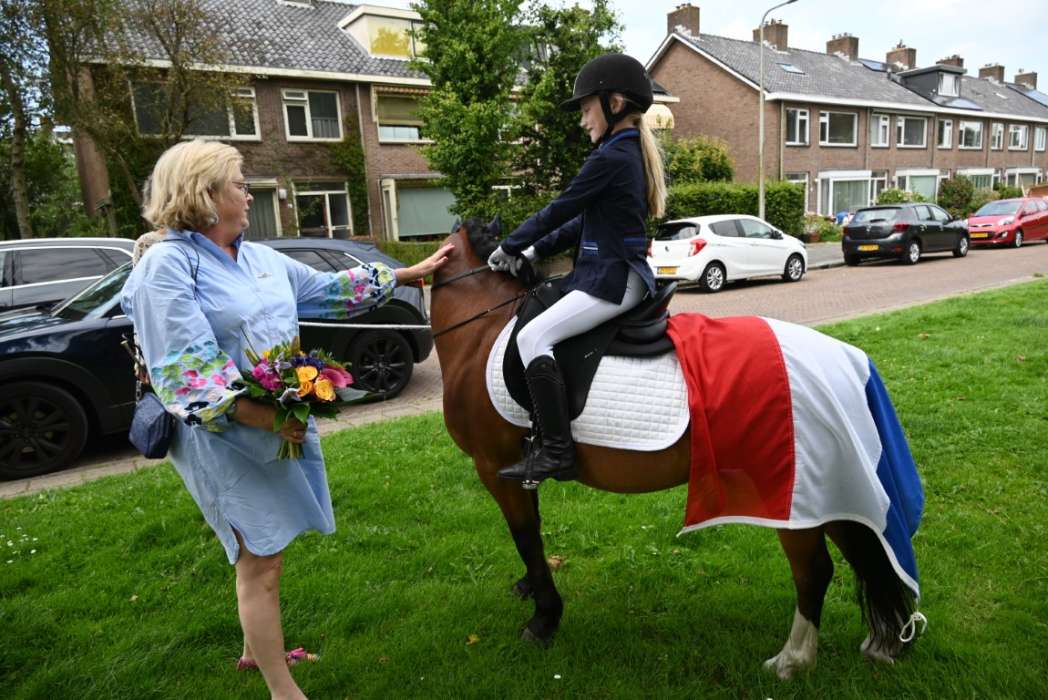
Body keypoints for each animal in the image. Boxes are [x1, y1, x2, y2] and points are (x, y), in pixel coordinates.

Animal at [429, 217, 922, 679]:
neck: (481, 331)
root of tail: (846, 361)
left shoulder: (494, 466)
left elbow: (525, 536)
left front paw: (544, 619)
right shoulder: (517, 467)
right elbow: (532, 529)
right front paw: (530, 590)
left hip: (795, 496)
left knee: (814, 571)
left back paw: (791, 660)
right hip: (833, 490)